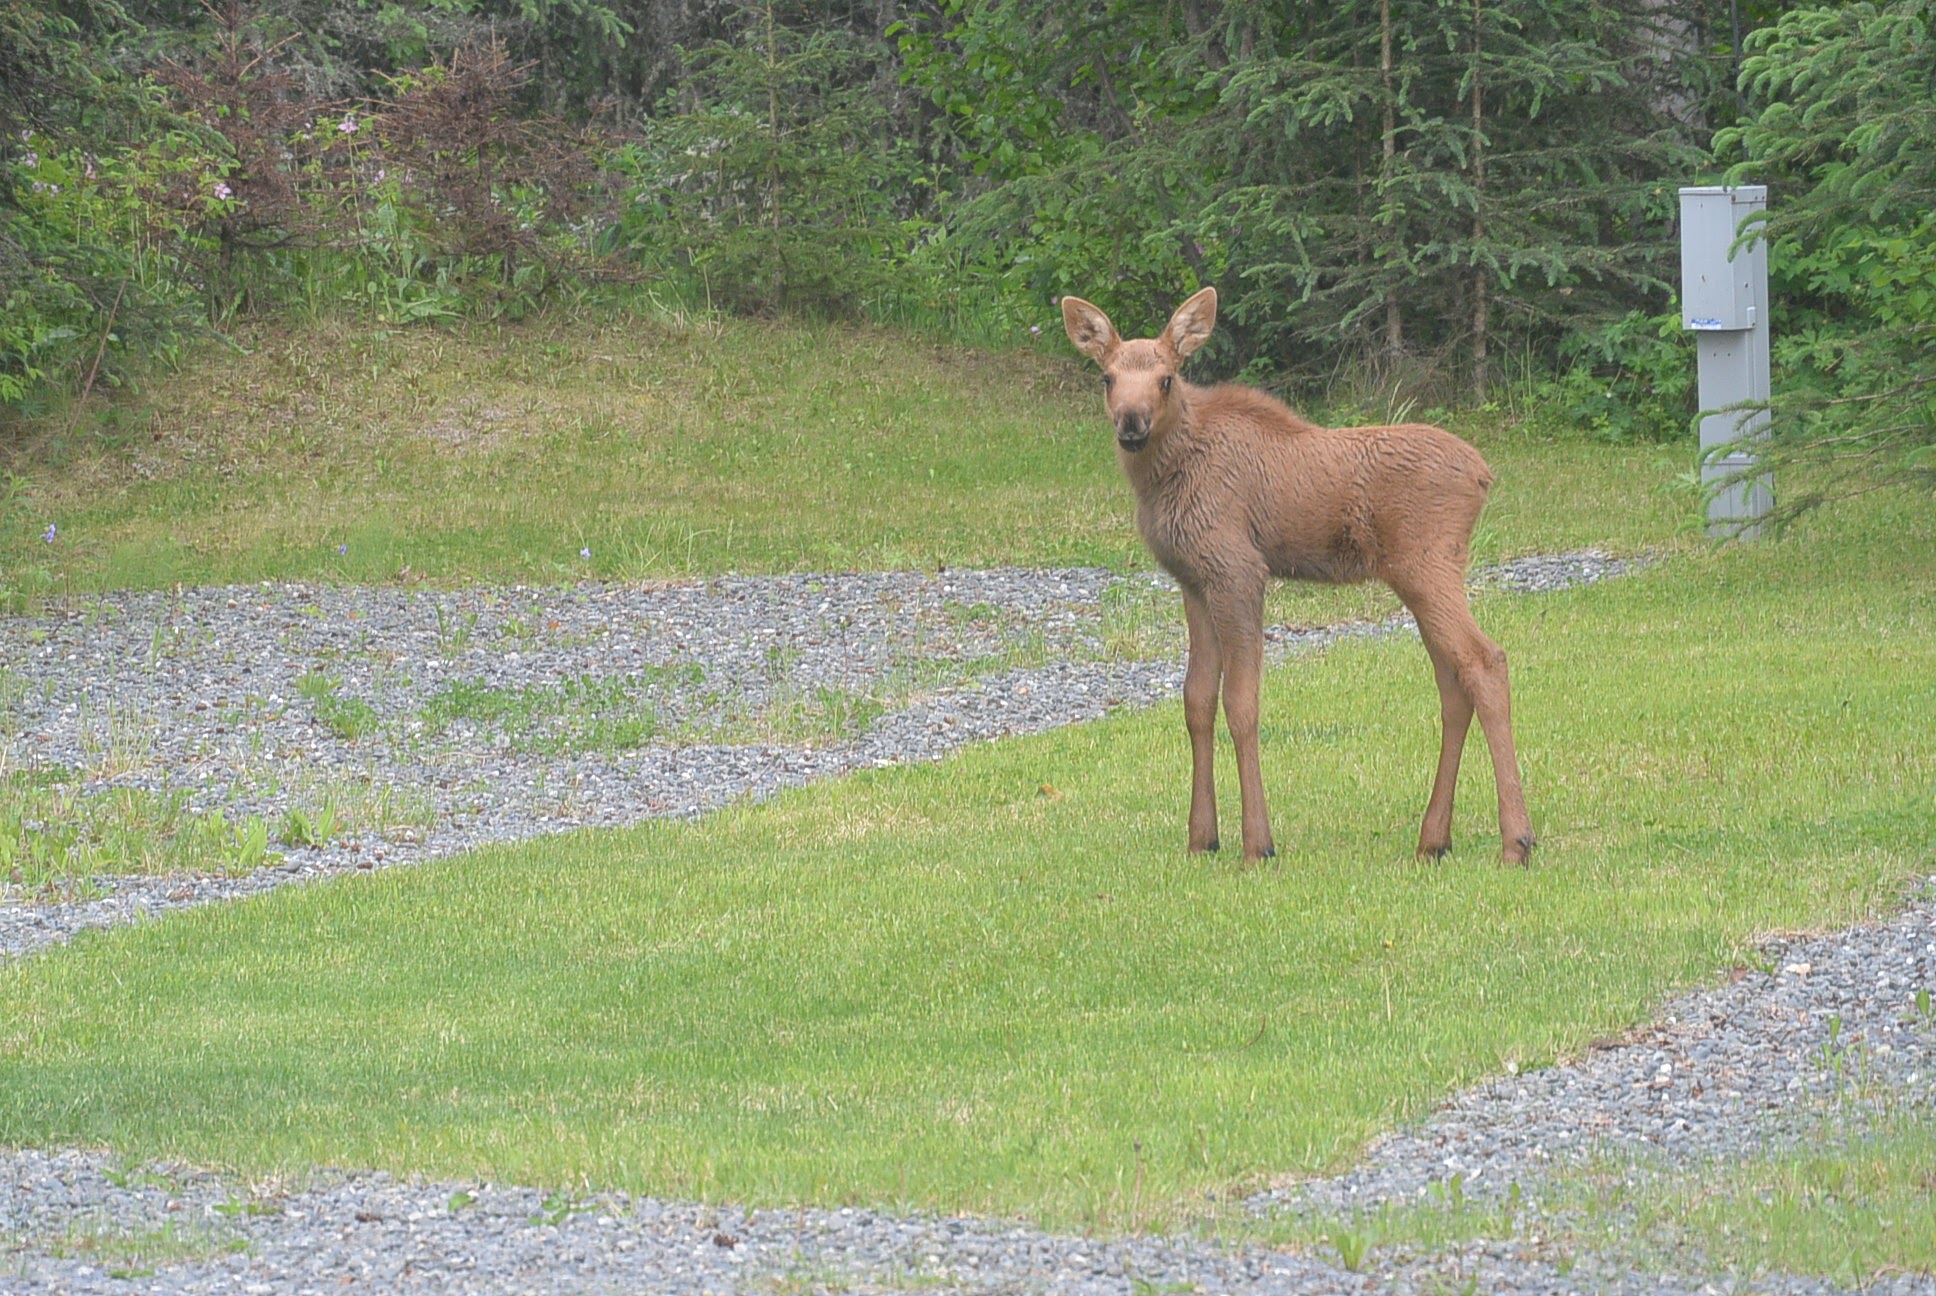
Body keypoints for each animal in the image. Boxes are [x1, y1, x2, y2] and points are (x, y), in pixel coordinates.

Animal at [1060, 288, 1525, 864]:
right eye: (1107, 377)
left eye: (1167, 378)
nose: (1131, 423)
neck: (1163, 482)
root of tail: (1484, 475)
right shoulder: (1193, 579)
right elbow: (1196, 700)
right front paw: (1201, 838)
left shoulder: (1238, 570)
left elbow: (1241, 702)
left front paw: (1257, 844)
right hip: (1417, 577)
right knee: (1452, 680)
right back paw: (1434, 839)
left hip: (1428, 564)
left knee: (1486, 661)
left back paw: (1516, 842)